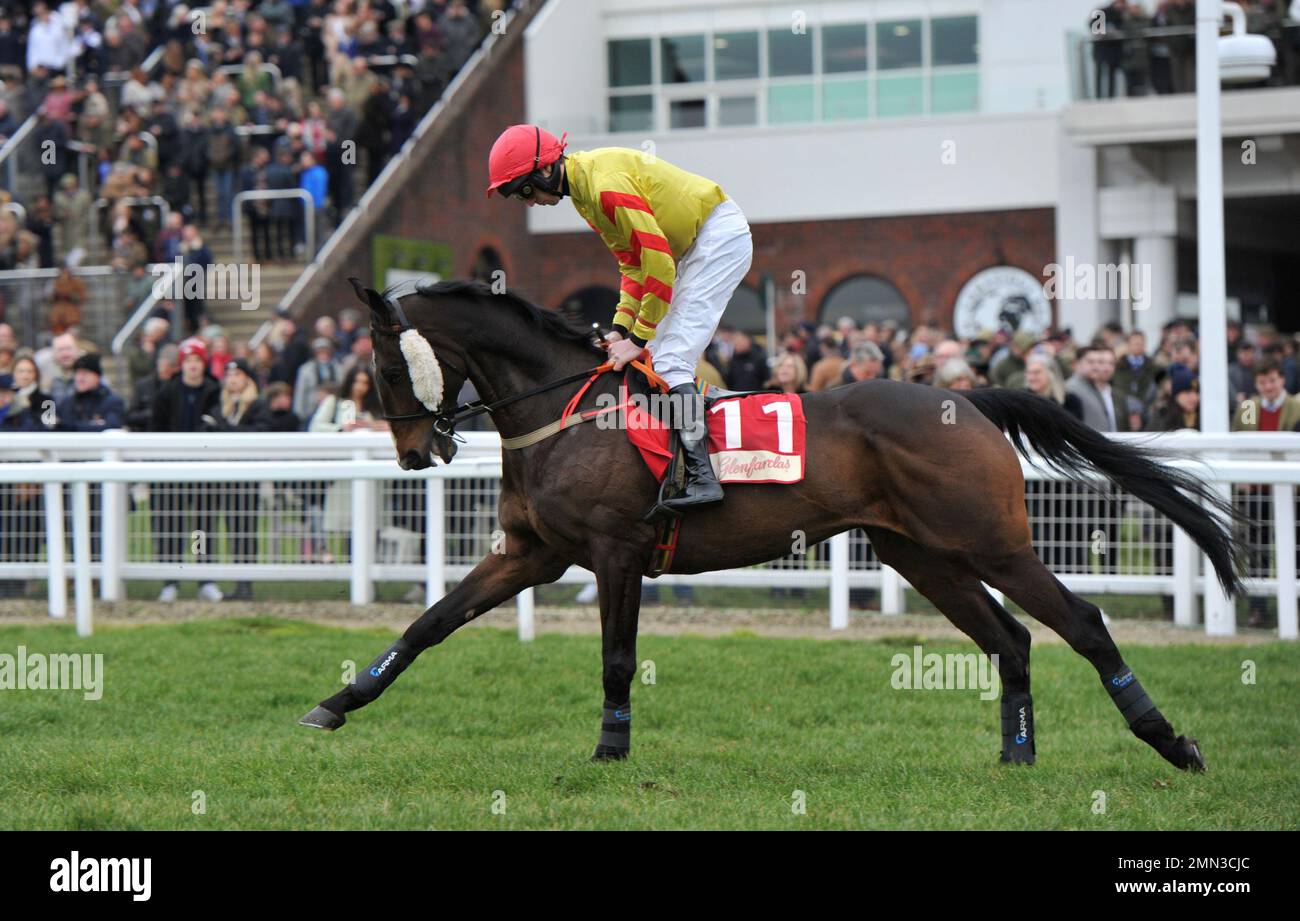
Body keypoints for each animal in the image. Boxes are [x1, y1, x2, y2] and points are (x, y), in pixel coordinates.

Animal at [299, 278, 1242, 770]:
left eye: (386, 362)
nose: (414, 453)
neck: (561, 410)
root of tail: (966, 397)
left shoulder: (614, 552)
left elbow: (617, 658)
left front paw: (611, 747)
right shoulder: (532, 553)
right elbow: (428, 624)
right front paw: (336, 703)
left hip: (991, 541)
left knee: (1083, 621)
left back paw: (1171, 742)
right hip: (922, 553)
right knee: (1009, 639)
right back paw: (1017, 754)